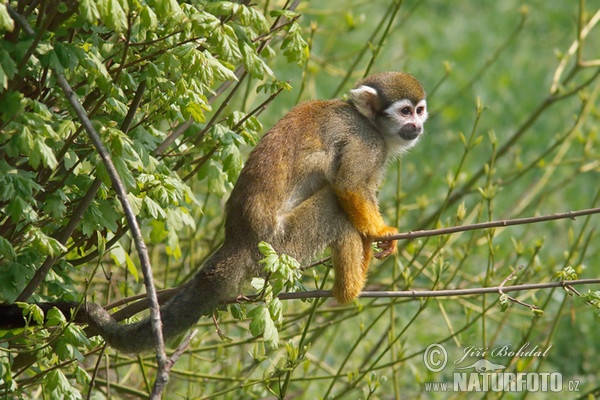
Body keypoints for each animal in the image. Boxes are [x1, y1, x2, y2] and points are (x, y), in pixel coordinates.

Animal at [2, 72, 428, 354]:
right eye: (405, 111)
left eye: (420, 110)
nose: (418, 126)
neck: (371, 123)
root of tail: (238, 239)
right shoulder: (366, 142)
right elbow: (350, 187)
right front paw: (380, 233)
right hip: (280, 243)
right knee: (333, 206)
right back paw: (348, 290)